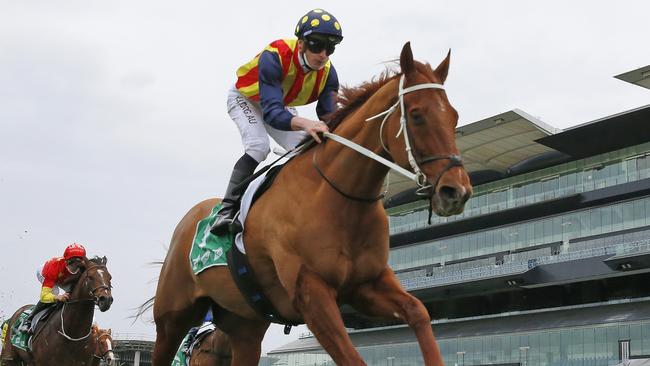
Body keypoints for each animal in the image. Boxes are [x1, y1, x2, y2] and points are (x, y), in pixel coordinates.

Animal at [149, 43, 468, 366]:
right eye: (416, 115)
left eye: (454, 116)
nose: (457, 191)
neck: (338, 199)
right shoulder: (311, 294)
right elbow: (353, 359)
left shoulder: (367, 284)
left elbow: (419, 312)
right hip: (171, 318)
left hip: (245, 325)